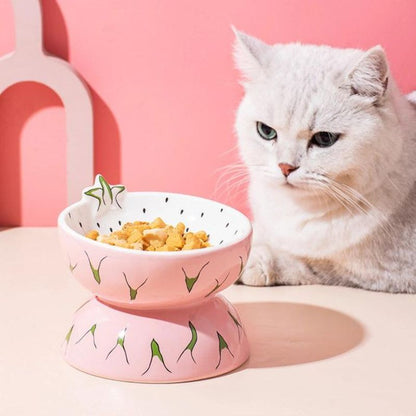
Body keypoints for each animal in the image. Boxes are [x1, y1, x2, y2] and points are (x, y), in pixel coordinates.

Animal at [232, 28, 416, 292]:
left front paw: (255, 262)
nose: (285, 167)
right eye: (266, 131)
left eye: (324, 138)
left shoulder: (385, 273)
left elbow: (309, 263)